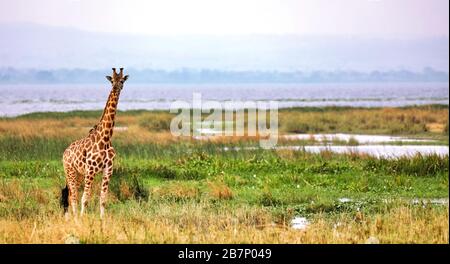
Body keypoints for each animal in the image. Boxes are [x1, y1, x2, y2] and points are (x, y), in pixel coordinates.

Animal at [60, 68, 129, 219]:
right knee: (73, 196)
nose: (116, 88)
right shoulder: (90, 169)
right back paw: (75, 219)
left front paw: (102, 220)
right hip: (70, 171)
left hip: (79, 174)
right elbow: (85, 198)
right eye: (112, 81)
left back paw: (72, 218)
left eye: (122, 80)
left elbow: (103, 198)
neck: (105, 138)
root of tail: (65, 152)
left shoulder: (108, 169)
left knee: (70, 195)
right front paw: (83, 219)